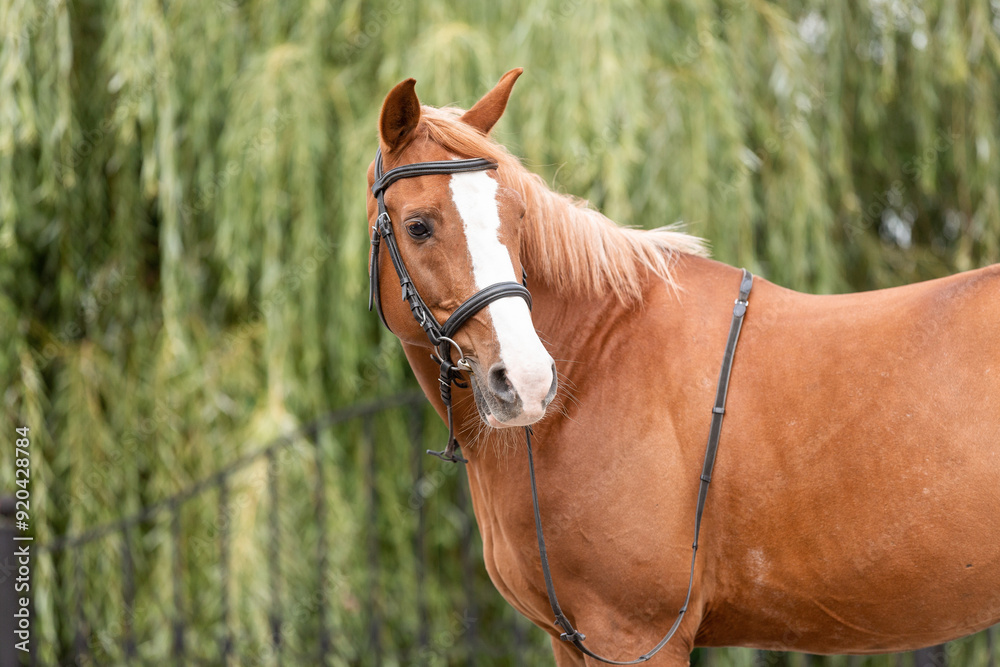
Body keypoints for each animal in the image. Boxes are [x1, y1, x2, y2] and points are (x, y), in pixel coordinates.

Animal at [366, 68, 1000, 666]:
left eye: (517, 216)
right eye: (418, 226)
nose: (526, 381)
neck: (601, 355)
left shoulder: (633, 635)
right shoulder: (572, 642)